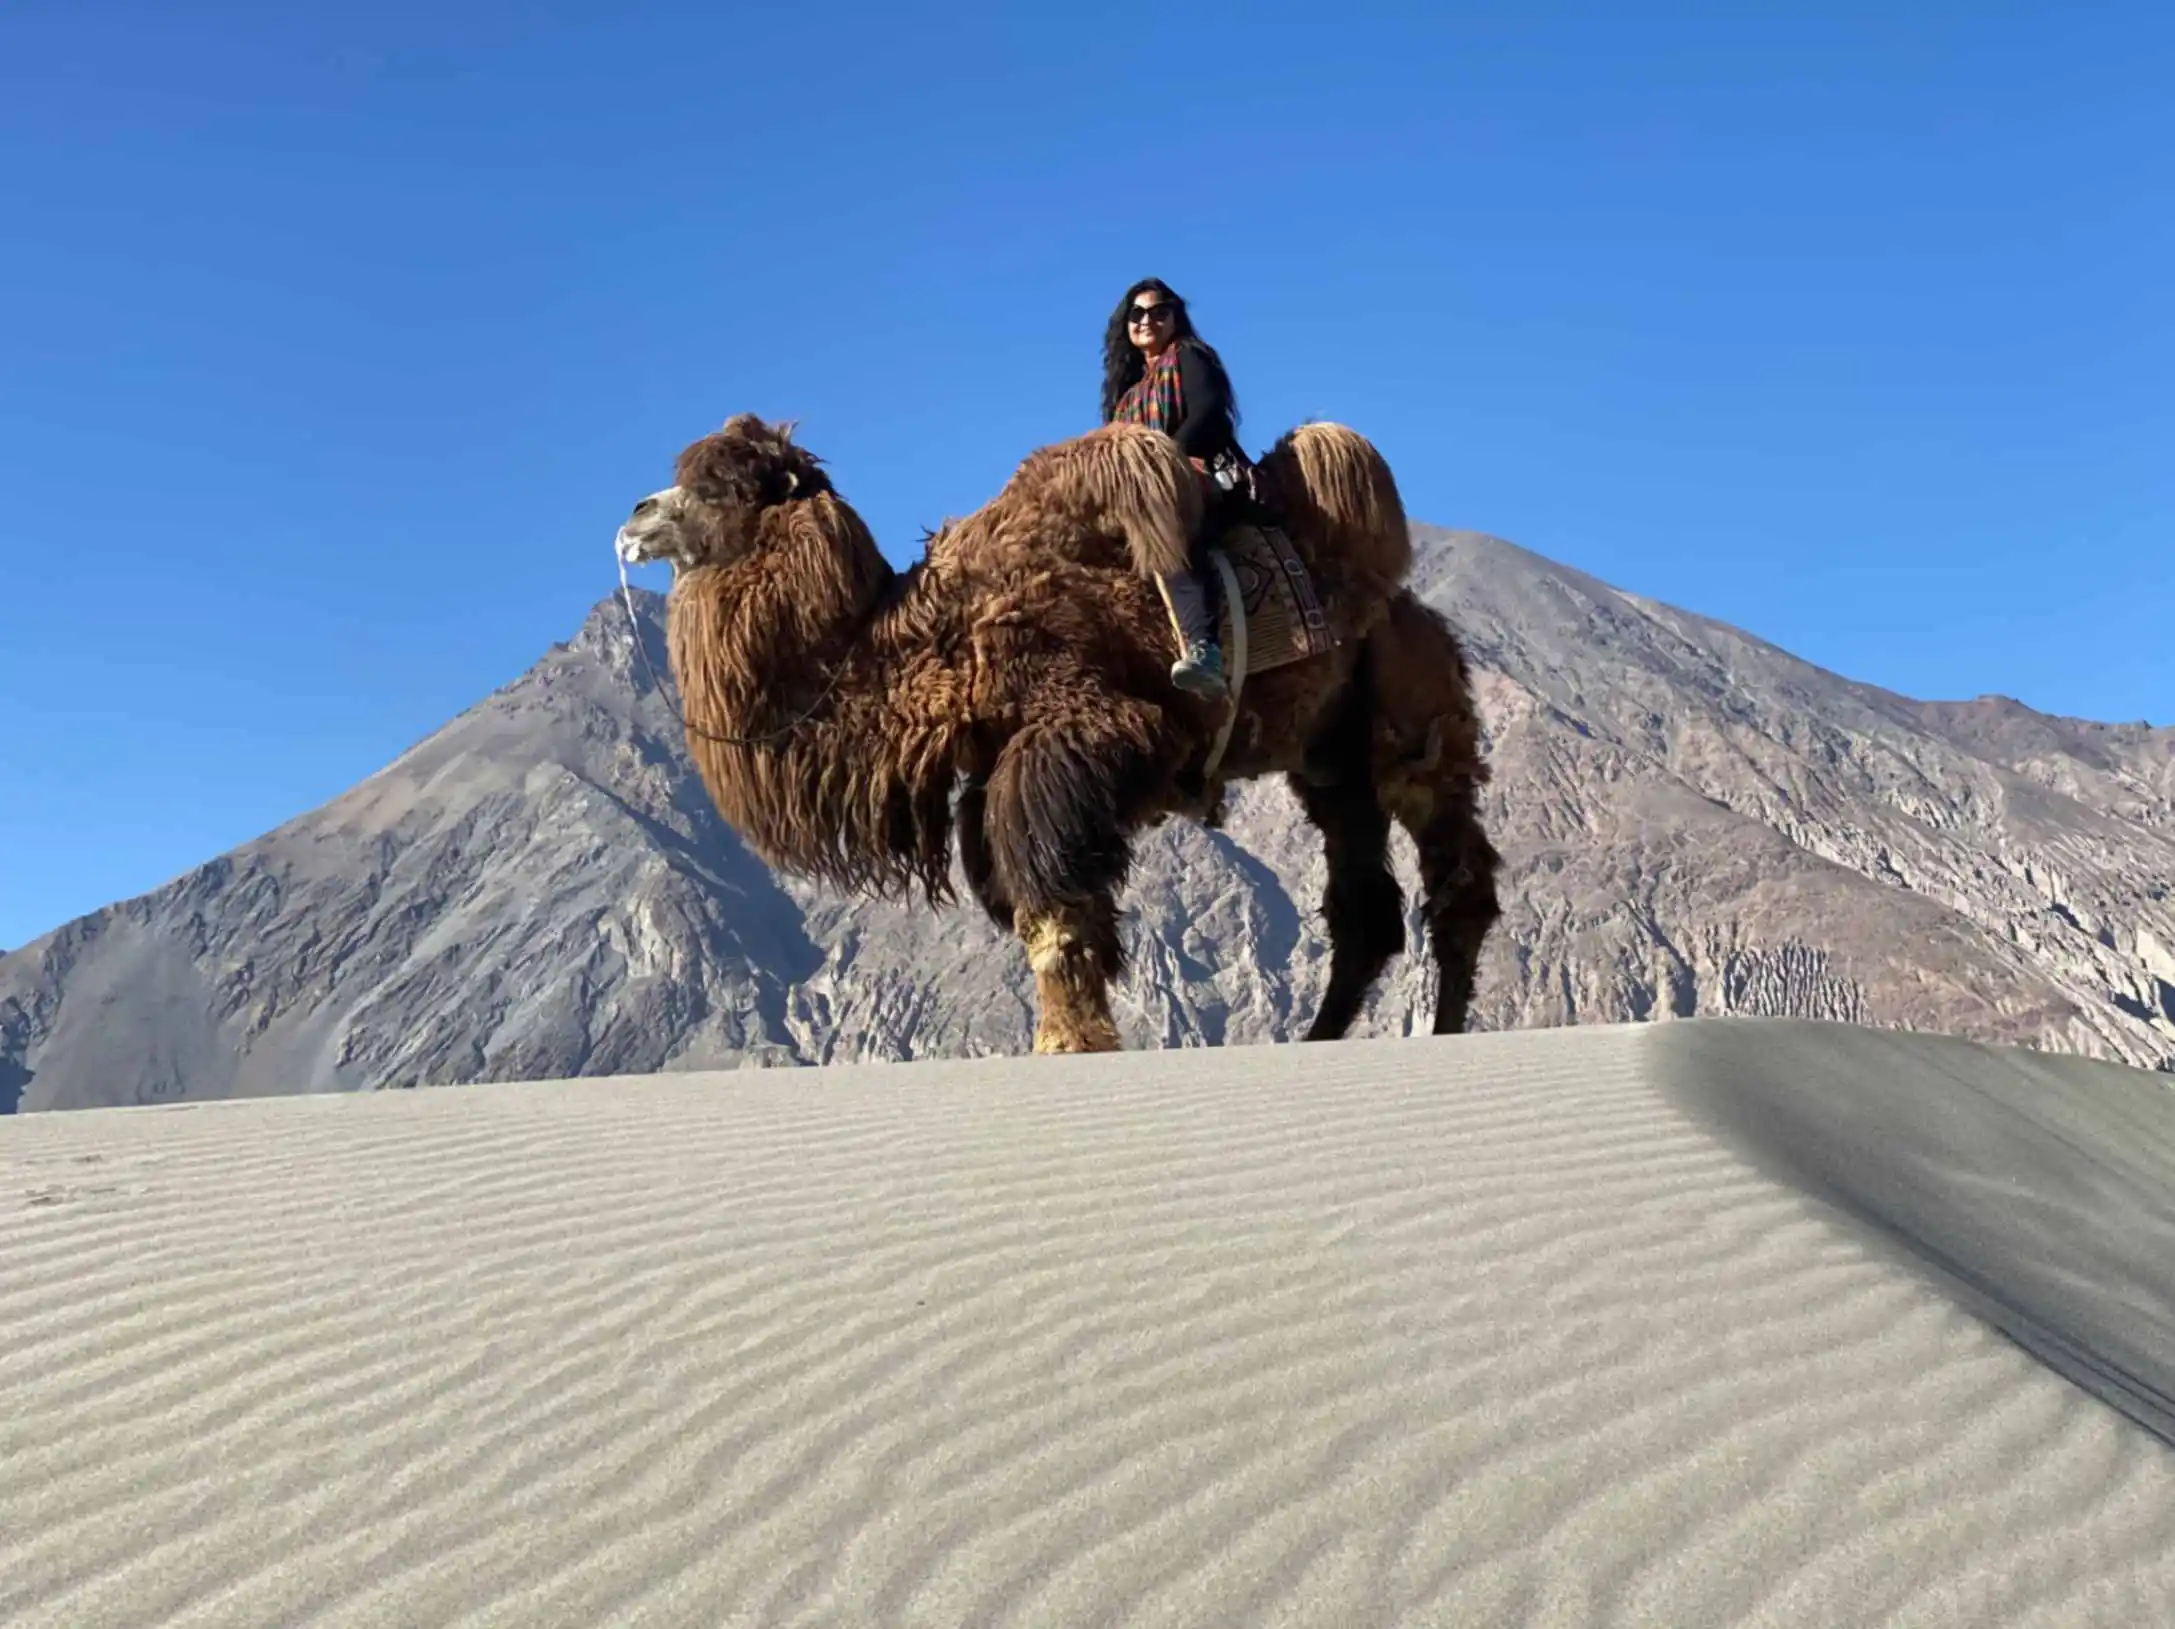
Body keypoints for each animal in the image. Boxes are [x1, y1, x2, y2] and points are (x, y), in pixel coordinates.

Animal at [613, 412, 1500, 1053]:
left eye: (724, 486)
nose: (634, 516)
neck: (935, 641)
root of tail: (1407, 603)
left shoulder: (1071, 740)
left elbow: (1054, 906)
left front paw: (1068, 1046)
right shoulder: (992, 777)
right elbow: (1043, 905)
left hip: (1411, 716)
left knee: (1451, 875)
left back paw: (1444, 1032)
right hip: (1327, 758)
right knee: (1364, 910)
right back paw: (1320, 1039)